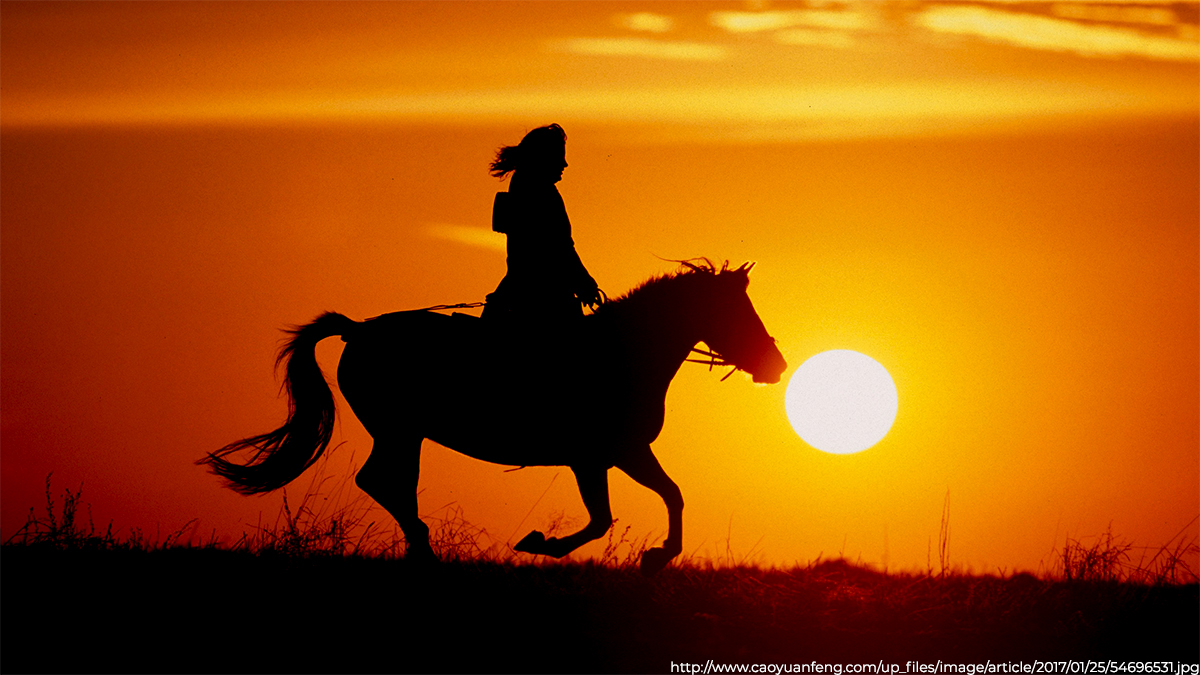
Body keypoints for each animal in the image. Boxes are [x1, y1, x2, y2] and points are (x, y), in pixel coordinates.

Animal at [199, 258, 787, 571]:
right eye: (737, 312)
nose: (776, 365)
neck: (623, 353)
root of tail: (359, 329)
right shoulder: (597, 457)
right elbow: (604, 518)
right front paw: (544, 544)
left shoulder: (624, 453)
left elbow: (671, 495)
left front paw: (659, 554)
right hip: (398, 429)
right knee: (381, 481)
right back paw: (424, 548)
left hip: (403, 433)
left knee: (389, 482)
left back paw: (421, 548)